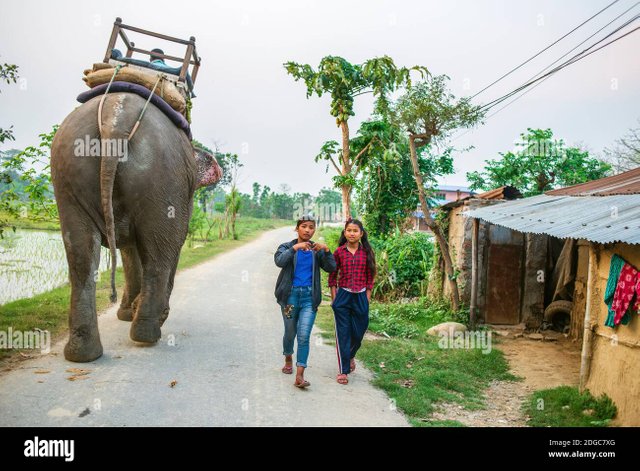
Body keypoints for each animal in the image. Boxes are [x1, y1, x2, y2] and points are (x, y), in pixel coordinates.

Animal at [50, 93, 221, 366]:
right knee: (161, 254)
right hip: (164, 179)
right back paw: (148, 332)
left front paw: (125, 312)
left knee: (80, 256)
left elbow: (130, 251)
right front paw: (136, 312)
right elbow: (169, 244)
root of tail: (115, 116)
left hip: (67, 171)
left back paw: (82, 354)